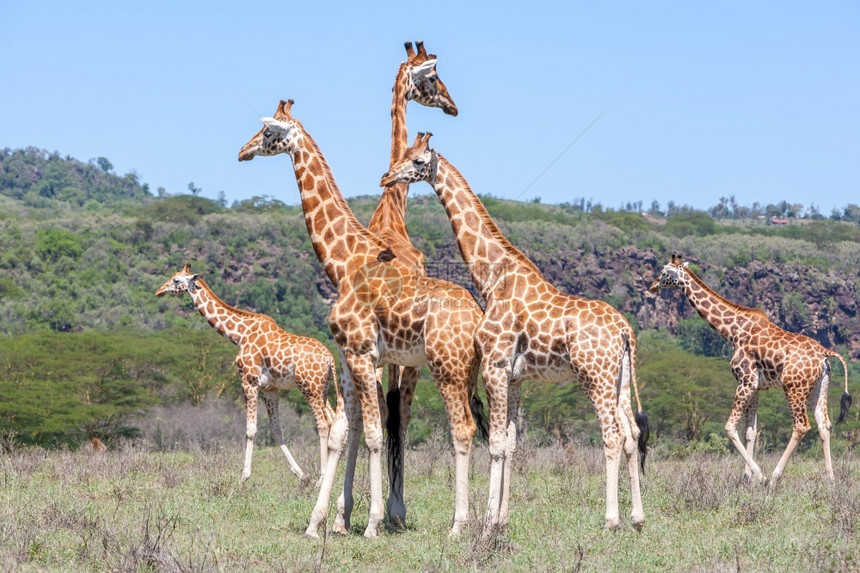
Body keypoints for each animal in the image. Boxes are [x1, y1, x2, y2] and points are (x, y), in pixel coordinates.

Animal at [156, 264, 338, 482]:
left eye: (176, 280)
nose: (158, 291)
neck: (239, 335)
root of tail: (330, 358)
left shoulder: (248, 381)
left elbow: (251, 430)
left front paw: (244, 476)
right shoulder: (270, 388)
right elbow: (276, 430)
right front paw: (301, 474)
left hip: (309, 387)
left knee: (323, 423)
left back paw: (323, 476)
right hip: (323, 388)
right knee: (334, 419)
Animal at [239, 99, 488, 536]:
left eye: (268, 132)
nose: (242, 151)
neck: (343, 262)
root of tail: (476, 317)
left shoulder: (362, 354)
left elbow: (372, 432)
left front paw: (370, 522)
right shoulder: (346, 357)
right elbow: (342, 431)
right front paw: (319, 522)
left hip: (446, 367)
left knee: (460, 429)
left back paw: (458, 525)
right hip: (462, 370)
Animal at [380, 133, 648, 532]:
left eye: (417, 162)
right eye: (403, 154)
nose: (385, 177)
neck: (494, 278)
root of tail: (626, 331)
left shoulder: (494, 365)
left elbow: (494, 444)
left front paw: (486, 522)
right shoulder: (515, 377)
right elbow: (509, 443)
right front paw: (501, 519)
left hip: (594, 375)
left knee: (612, 435)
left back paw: (611, 521)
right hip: (620, 379)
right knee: (631, 434)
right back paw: (638, 518)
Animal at [648, 252, 848, 480]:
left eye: (664, 272)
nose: (652, 286)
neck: (732, 331)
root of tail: (824, 353)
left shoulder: (745, 381)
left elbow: (729, 428)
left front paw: (758, 475)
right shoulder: (756, 386)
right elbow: (750, 431)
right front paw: (747, 478)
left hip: (794, 388)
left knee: (801, 426)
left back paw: (774, 477)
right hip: (819, 387)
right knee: (824, 425)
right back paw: (830, 478)